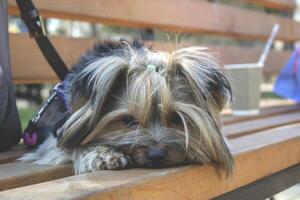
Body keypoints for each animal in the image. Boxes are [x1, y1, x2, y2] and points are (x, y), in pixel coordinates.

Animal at [20, 39, 234, 176]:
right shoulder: (56, 134)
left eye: (175, 118)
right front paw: (104, 155)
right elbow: (68, 146)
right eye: (128, 120)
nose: (156, 155)